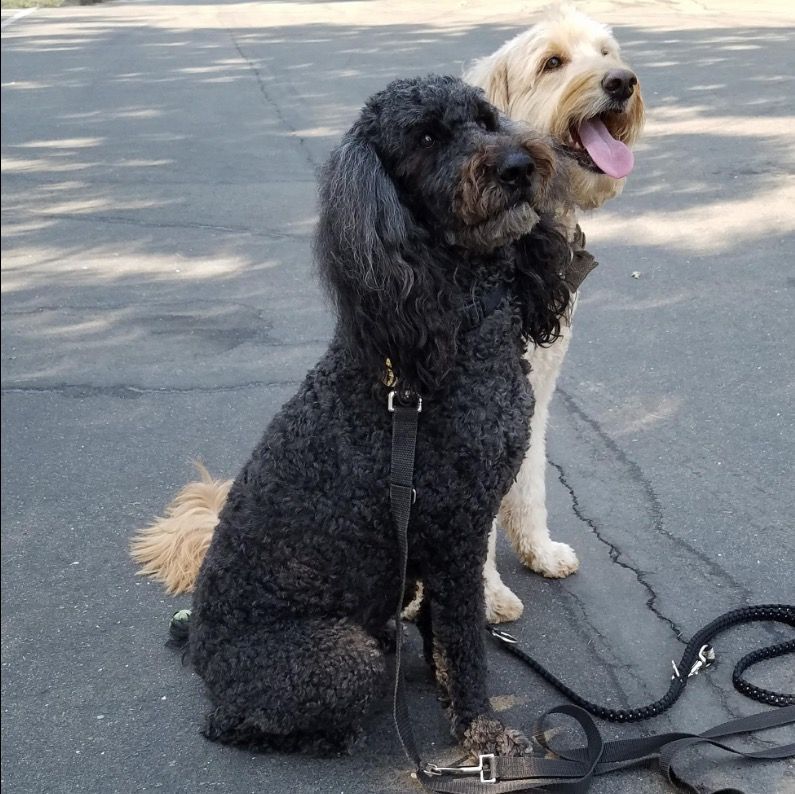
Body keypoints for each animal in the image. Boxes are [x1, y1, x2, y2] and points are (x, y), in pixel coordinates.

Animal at [129, 4, 640, 620]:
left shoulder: (531, 411)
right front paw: (490, 597)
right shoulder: (453, 487)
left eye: (486, 121)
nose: (621, 83)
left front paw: (539, 551)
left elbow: (531, 486)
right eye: (553, 63)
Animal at [187, 74, 572, 756]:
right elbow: (463, 644)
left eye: (484, 119)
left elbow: (443, 640)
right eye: (426, 137)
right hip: (337, 658)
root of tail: (203, 655)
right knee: (240, 723)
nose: (518, 166)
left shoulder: (444, 546)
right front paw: (481, 731)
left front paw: (453, 704)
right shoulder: (455, 536)